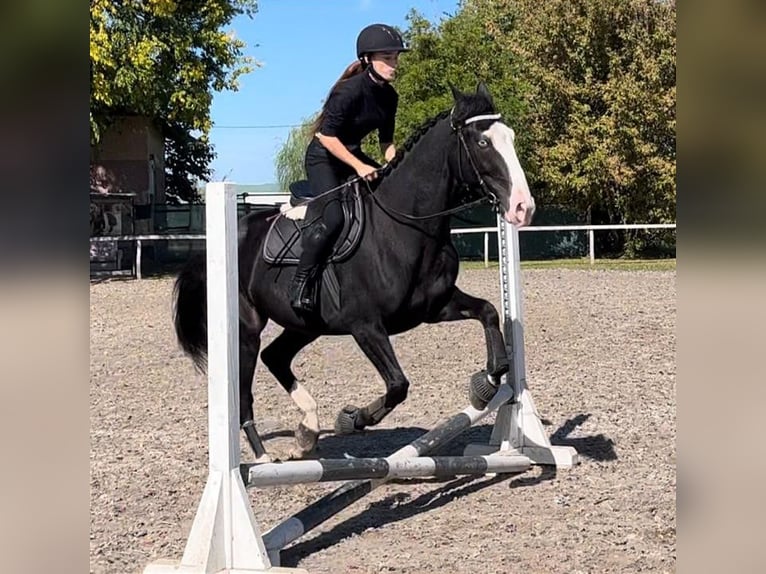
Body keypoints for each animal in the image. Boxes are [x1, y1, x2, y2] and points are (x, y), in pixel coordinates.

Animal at [175, 83, 536, 464]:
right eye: (482, 142)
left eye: (510, 137)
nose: (522, 208)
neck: (404, 227)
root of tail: (240, 227)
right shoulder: (365, 326)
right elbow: (397, 385)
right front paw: (352, 418)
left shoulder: (434, 307)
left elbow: (489, 312)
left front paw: (485, 384)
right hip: (247, 329)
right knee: (245, 393)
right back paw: (262, 456)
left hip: (305, 324)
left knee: (275, 357)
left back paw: (306, 434)